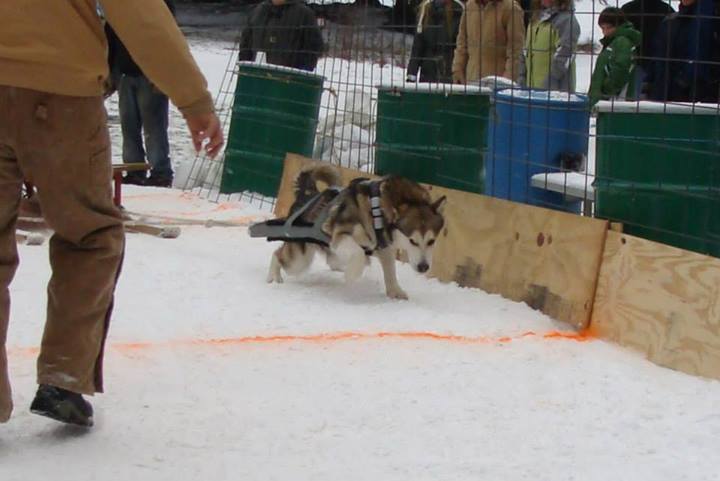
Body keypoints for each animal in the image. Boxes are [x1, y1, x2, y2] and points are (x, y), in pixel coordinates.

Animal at [266, 163, 444, 298]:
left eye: (432, 241)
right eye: (412, 240)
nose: (423, 267)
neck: (377, 210)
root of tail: (307, 196)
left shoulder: (385, 247)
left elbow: (390, 269)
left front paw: (395, 291)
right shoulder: (339, 234)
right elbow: (358, 254)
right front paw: (352, 273)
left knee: (332, 260)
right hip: (299, 259)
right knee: (277, 255)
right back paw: (273, 277)